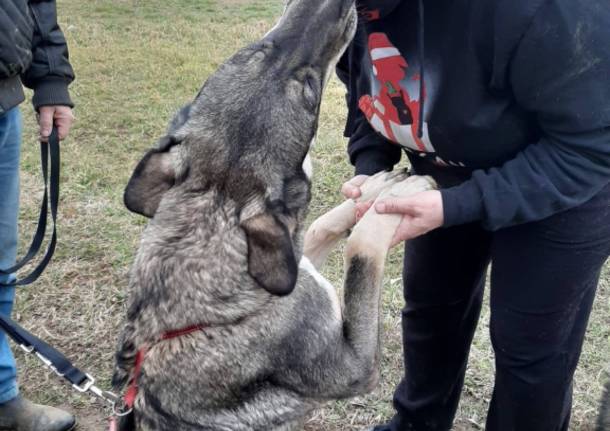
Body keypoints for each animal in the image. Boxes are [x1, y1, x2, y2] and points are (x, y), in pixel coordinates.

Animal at [113, 0, 432, 430]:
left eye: (257, 49)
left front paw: (373, 189)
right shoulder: (356, 365)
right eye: (309, 91)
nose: (329, 4)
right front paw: (402, 194)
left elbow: (320, 225)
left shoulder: (297, 259)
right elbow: (362, 249)